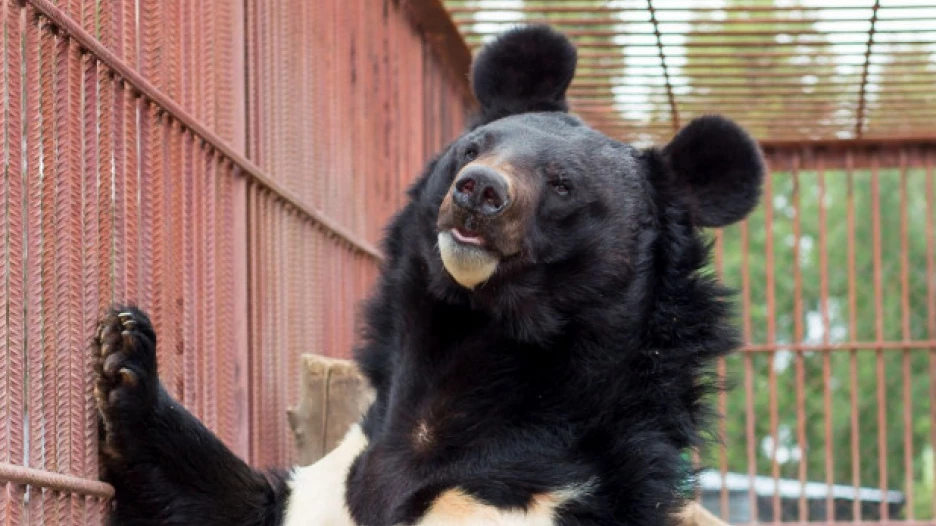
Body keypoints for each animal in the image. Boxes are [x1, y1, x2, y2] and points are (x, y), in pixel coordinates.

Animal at [92, 24, 764, 526]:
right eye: (474, 148)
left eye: (563, 185)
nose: (479, 192)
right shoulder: (331, 486)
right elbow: (223, 503)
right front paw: (122, 348)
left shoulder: (530, 502)